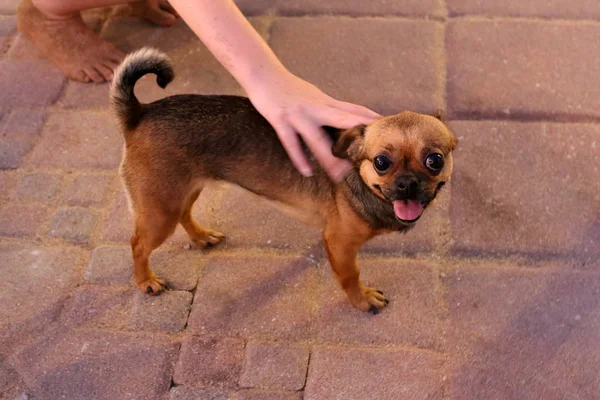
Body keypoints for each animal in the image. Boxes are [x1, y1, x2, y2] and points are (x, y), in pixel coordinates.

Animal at [110, 48, 458, 314]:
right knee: (137, 244)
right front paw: (362, 300)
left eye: (435, 160)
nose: (407, 183)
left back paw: (200, 236)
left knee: (184, 213)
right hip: (159, 212)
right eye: (381, 163)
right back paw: (146, 281)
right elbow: (350, 277)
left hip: (181, 192)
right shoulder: (340, 244)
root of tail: (138, 112)